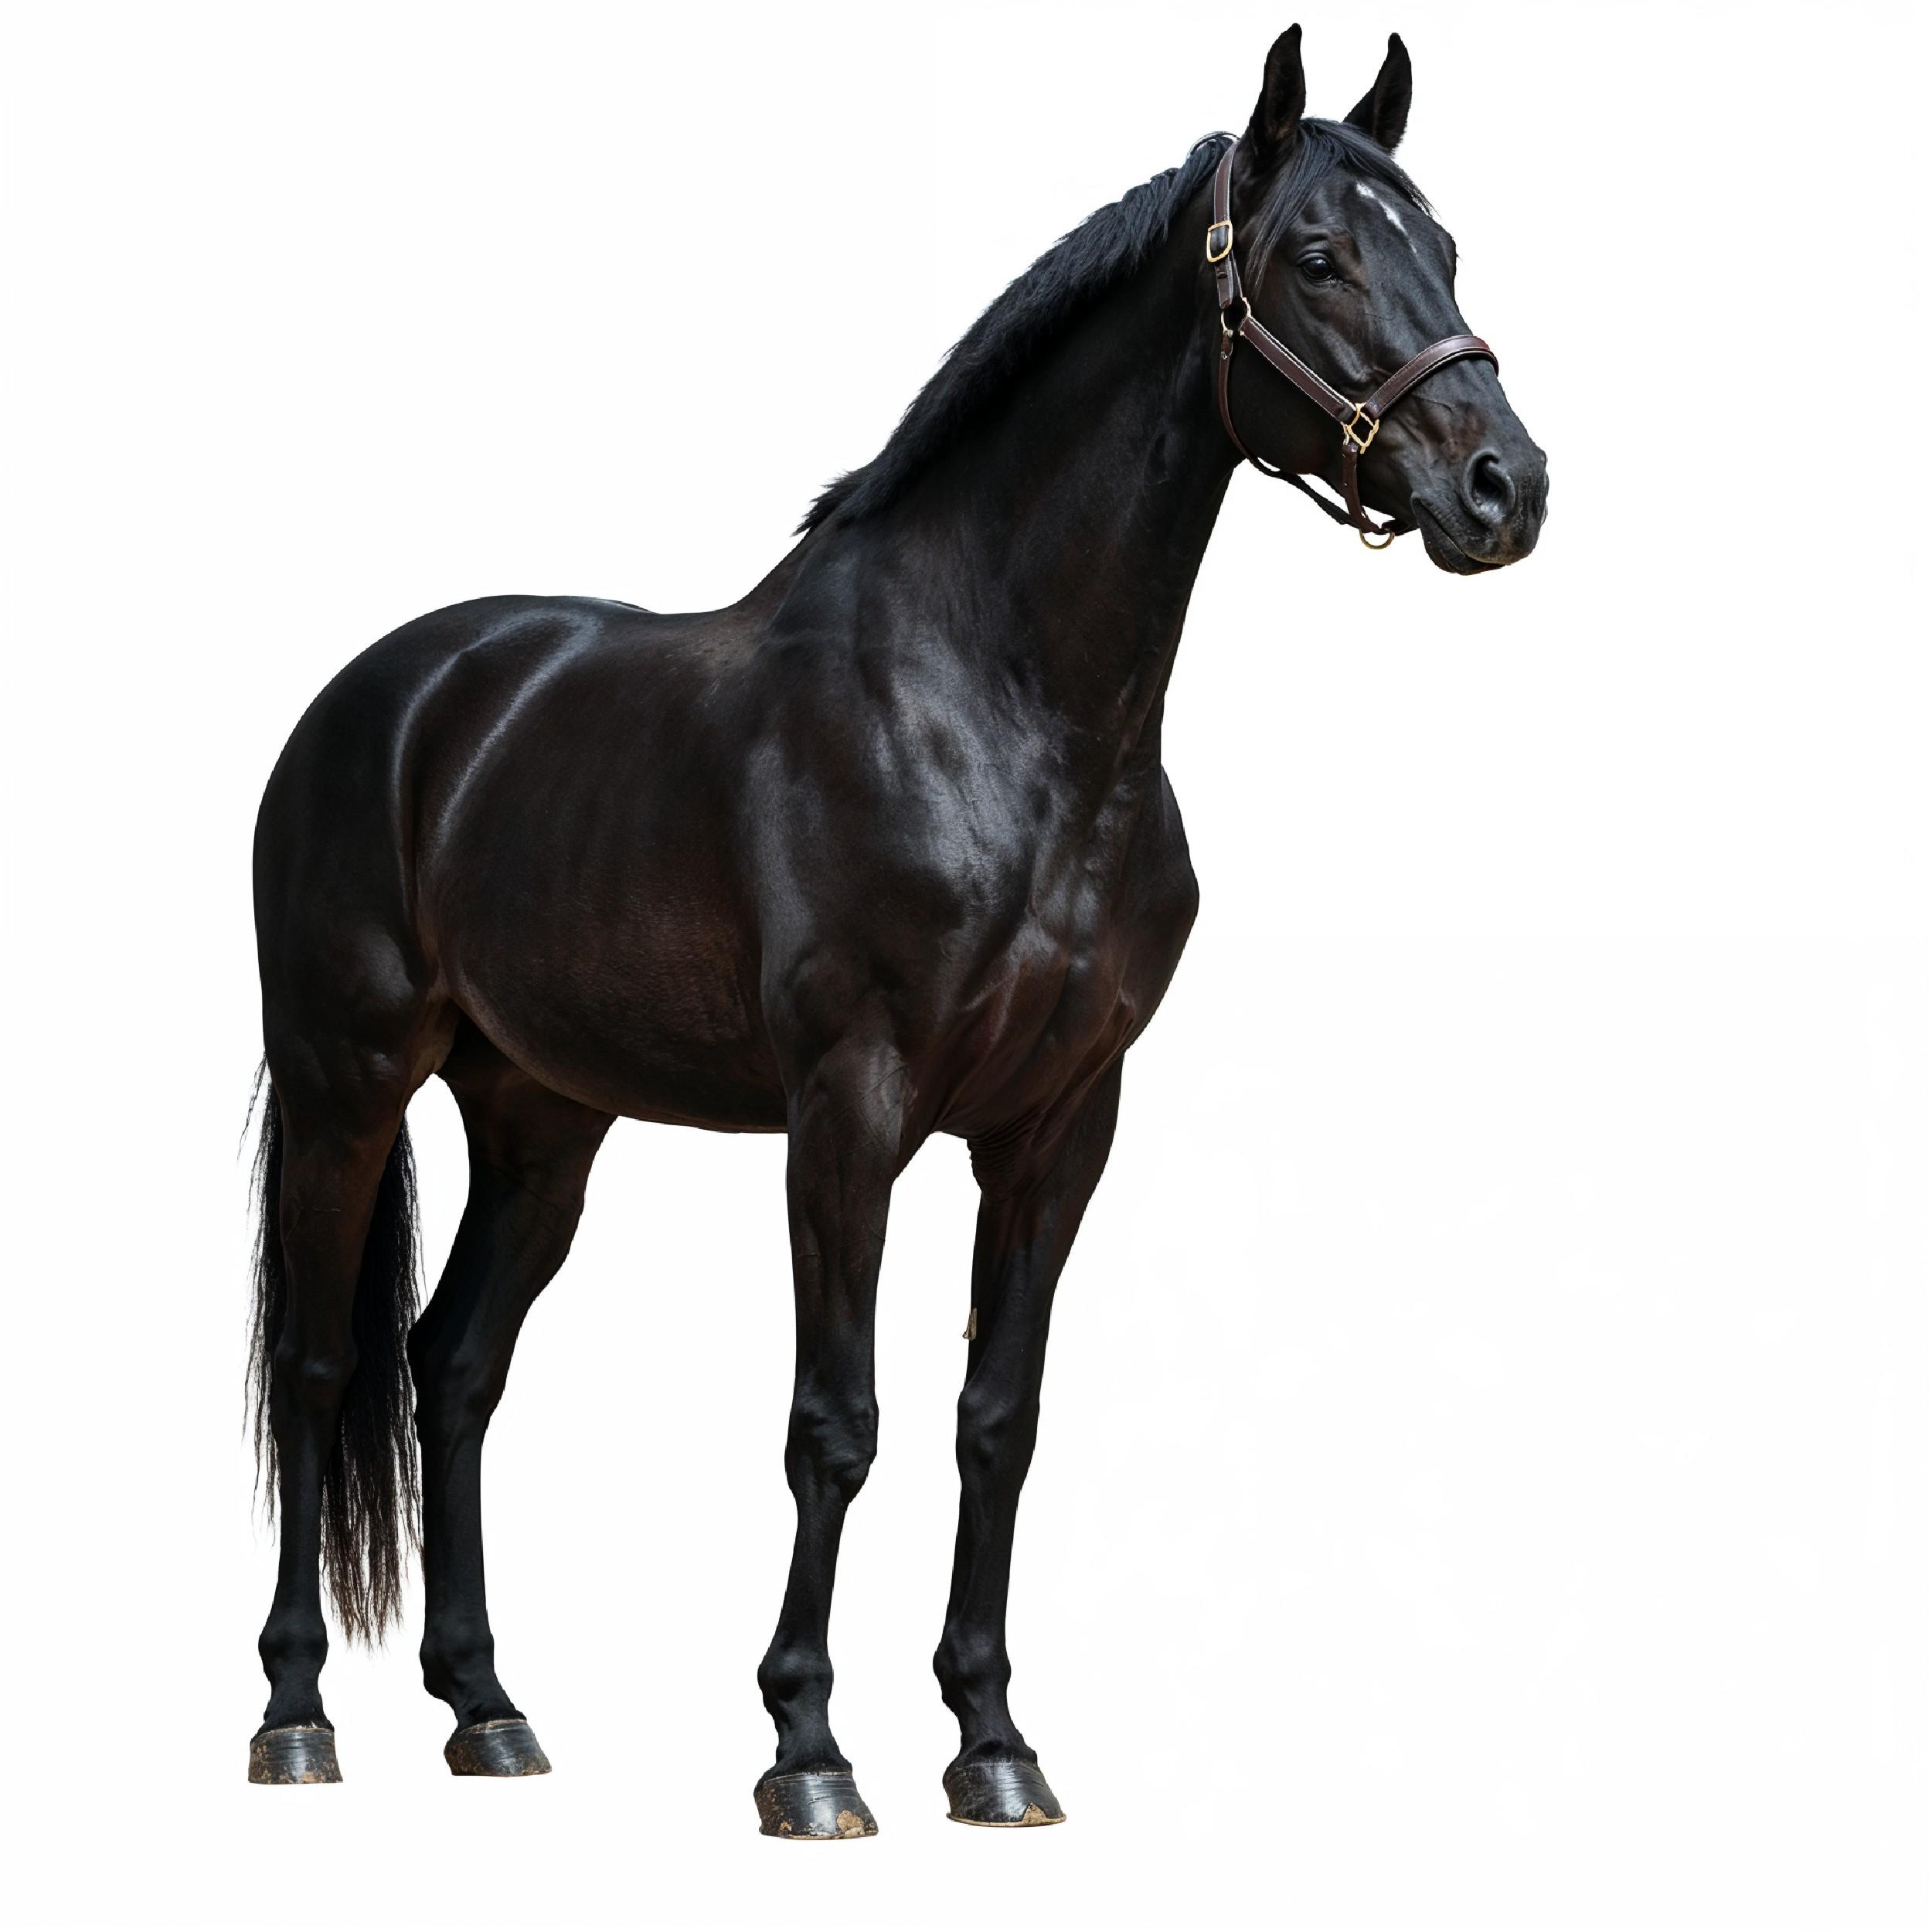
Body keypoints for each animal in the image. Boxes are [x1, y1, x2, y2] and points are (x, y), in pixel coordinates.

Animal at [243, 24, 1548, 1832]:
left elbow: (995, 1417)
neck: (997, 704)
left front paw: (993, 1742)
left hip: (541, 1120)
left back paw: (489, 1708)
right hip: (347, 1079)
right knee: (318, 1368)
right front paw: (807, 1748)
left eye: (1447, 248)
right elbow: (835, 1421)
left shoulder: (1062, 1122)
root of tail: (390, 695)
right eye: (1317, 255)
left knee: (453, 1368)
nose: (1505, 486)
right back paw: (298, 1714)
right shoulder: (847, 1105)